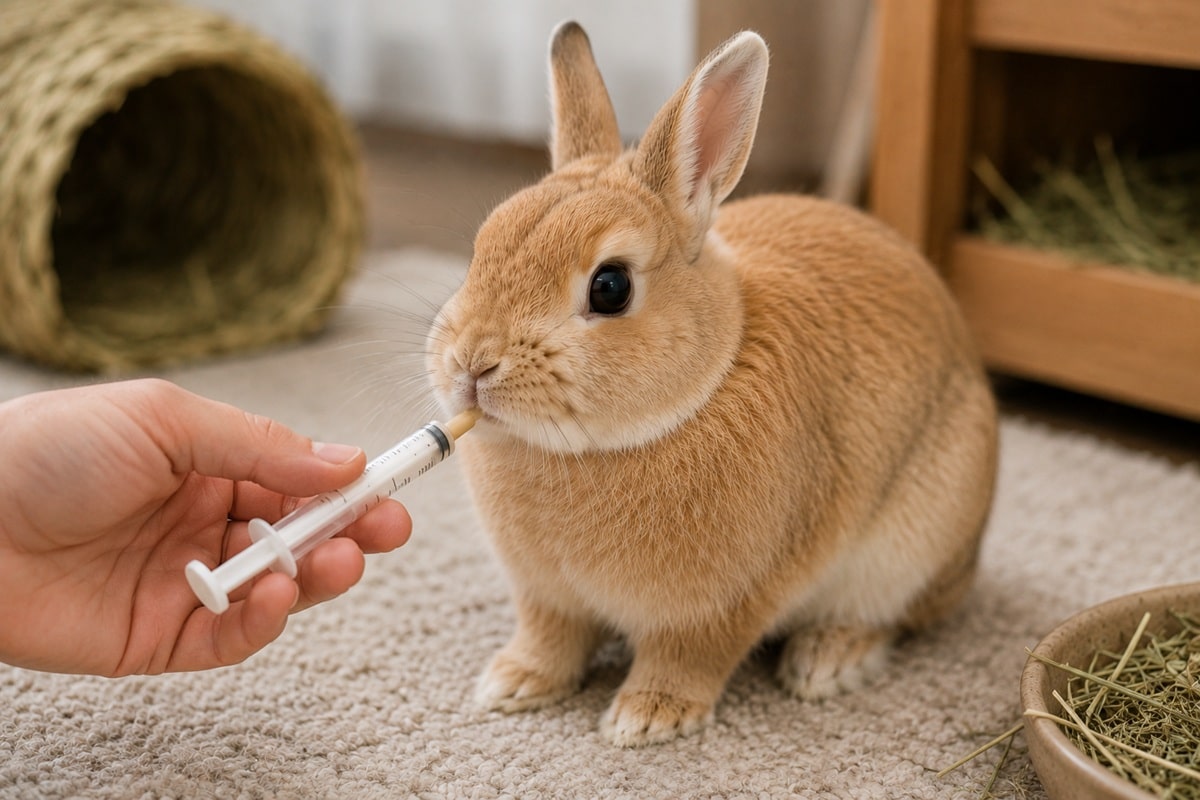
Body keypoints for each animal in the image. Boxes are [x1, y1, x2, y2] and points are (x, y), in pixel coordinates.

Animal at [426, 21, 998, 748]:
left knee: (895, 615)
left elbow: (690, 654)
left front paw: (648, 717)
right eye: (480, 249)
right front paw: (514, 682)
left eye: (609, 287)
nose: (471, 365)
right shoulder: (546, 595)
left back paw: (828, 661)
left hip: (913, 548)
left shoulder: (725, 603)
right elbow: (550, 637)